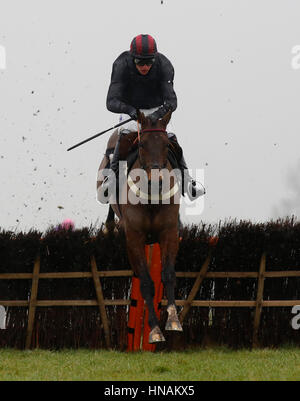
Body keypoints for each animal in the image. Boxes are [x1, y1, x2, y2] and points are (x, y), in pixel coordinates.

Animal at [102, 111, 183, 342]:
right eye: (142, 145)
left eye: (166, 144)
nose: (157, 180)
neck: (151, 199)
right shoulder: (135, 238)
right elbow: (146, 282)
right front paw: (155, 330)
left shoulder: (169, 233)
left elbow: (168, 274)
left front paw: (173, 319)